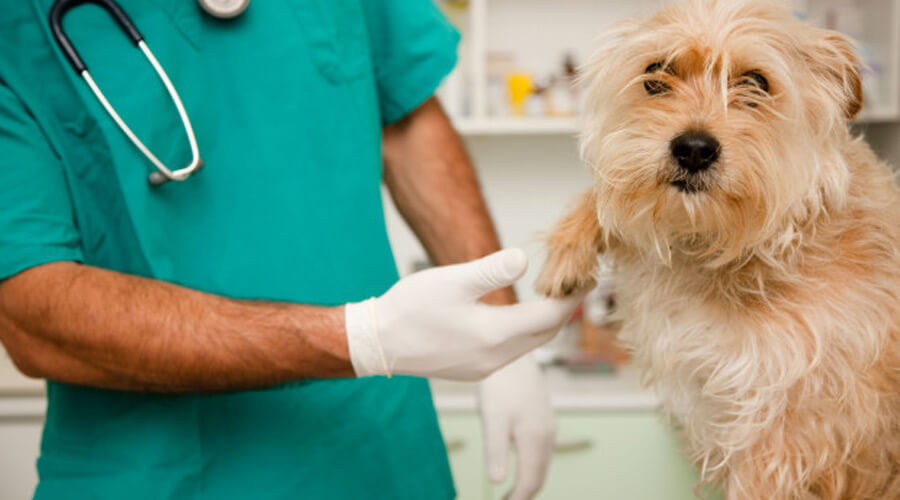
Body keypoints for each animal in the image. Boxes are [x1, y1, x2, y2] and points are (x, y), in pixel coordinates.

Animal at [536, 1, 896, 498]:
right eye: (657, 73)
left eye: (756, 82)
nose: (692, 149)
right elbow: (611, 195)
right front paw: (567, 253)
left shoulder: (786, 430)